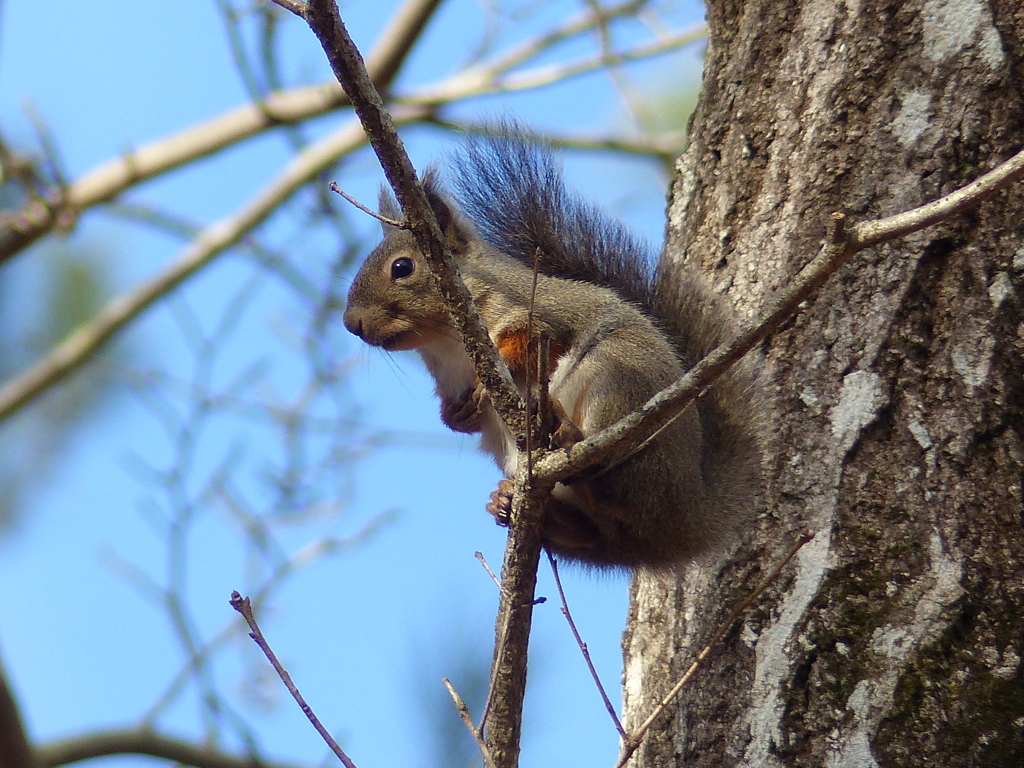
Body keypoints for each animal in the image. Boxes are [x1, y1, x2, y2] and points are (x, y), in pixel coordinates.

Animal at [339, 128, 765, 573]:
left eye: (402, 267)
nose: (351, 323)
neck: (444, 343)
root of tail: (684, 521)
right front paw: (457, 413)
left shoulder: (543, 315)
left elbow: (534, 343)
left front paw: (487, 385)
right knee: (595, 531)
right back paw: (510, 501)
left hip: (617, 382)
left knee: (612, 479)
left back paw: (569, 436)